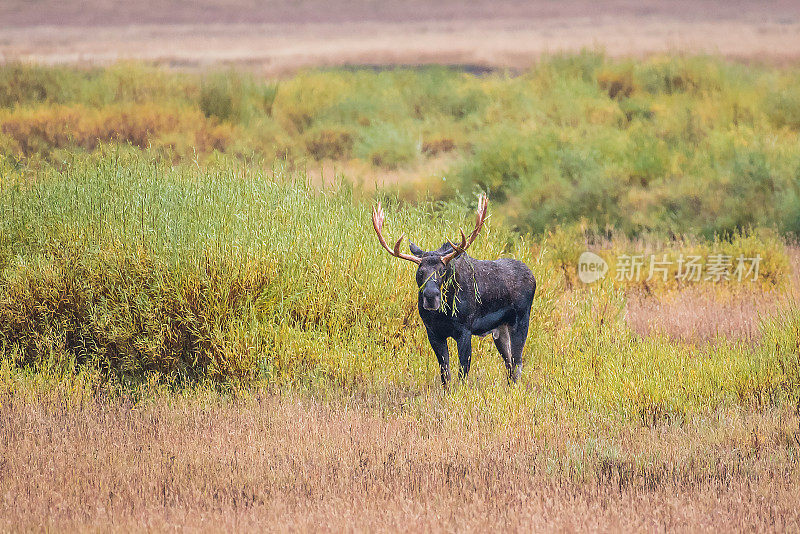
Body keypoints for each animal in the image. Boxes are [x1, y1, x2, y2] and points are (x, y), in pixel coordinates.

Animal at [370, 195, 536, 388]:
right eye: (420, 272)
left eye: (443, 270)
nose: (430, 297)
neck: (443, 314)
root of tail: (532, 276)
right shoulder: (433, 333)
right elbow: (445, 373)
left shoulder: (465, 330)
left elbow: (463, 373)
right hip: (500, 329)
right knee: (509, 363)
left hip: (521, 321)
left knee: (518, 362)